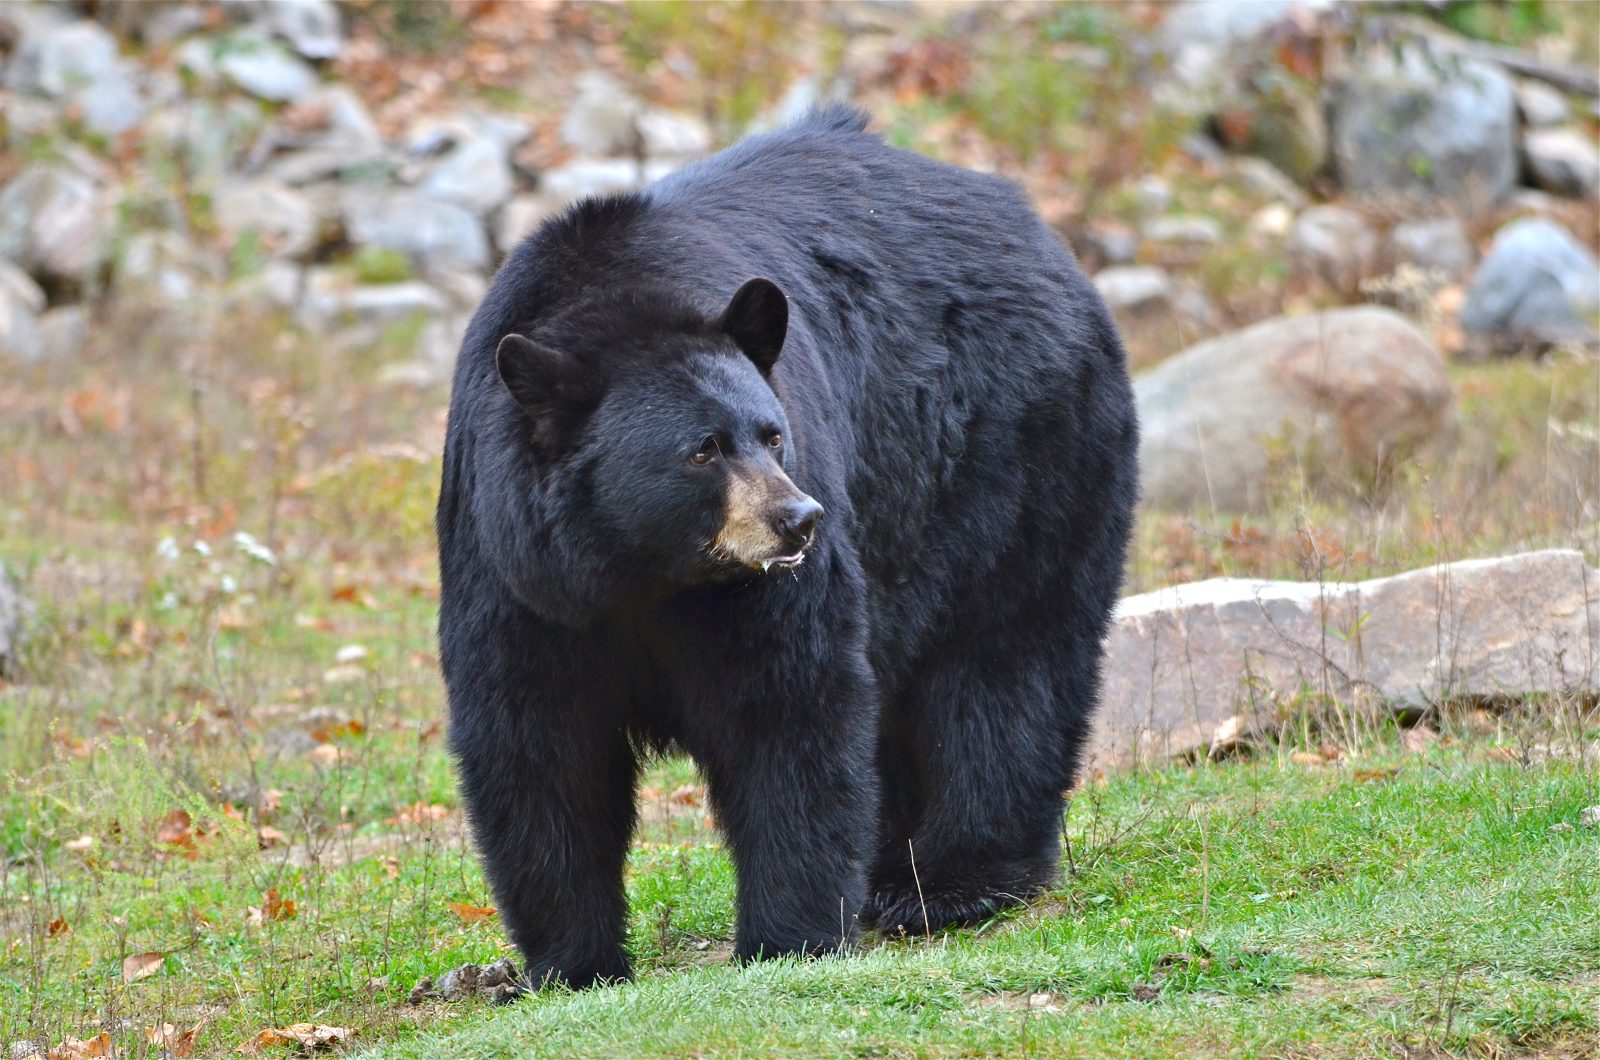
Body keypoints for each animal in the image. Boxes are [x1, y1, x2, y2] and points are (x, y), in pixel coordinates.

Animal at [435, 104, 1139, 992]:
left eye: (773, 434)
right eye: (702, 450)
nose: (798, 519)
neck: (641, 573)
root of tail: (1036, 227)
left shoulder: (768, 588)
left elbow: (786, 706)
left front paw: (788, 937)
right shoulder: (512, 569)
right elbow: (535, 741)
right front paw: (572, 964)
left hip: (1015, 452)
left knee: (1004, 656)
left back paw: (951, 883)